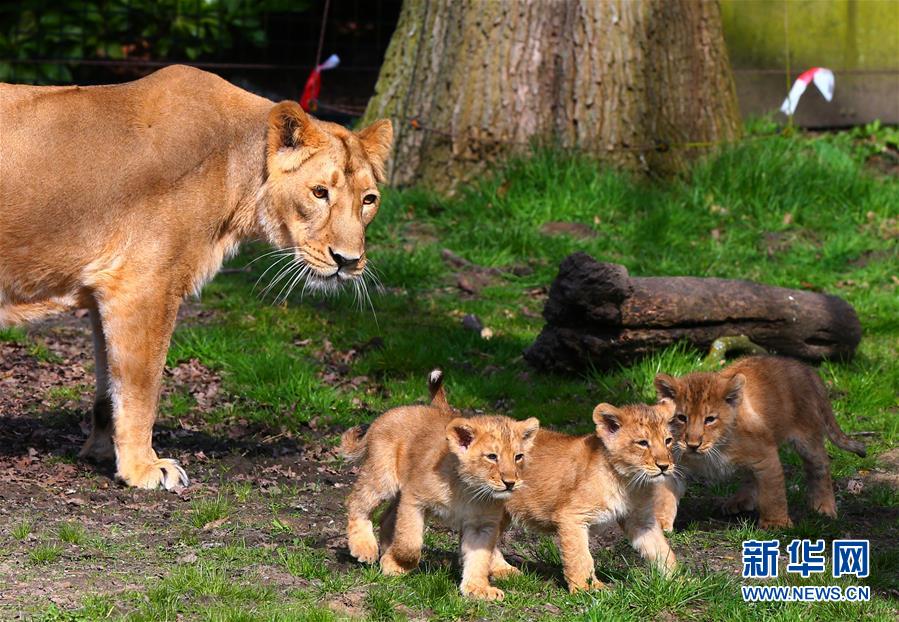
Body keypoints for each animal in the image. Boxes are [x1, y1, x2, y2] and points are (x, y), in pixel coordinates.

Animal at [0, 64, 394, 492]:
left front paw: (104, 454)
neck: (239, 174)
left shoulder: (104, 290)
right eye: (319, 192)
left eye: (369, 200)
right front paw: (143, 468)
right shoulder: (143, 286)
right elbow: (142, 388)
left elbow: (110, 390)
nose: (347, 260)